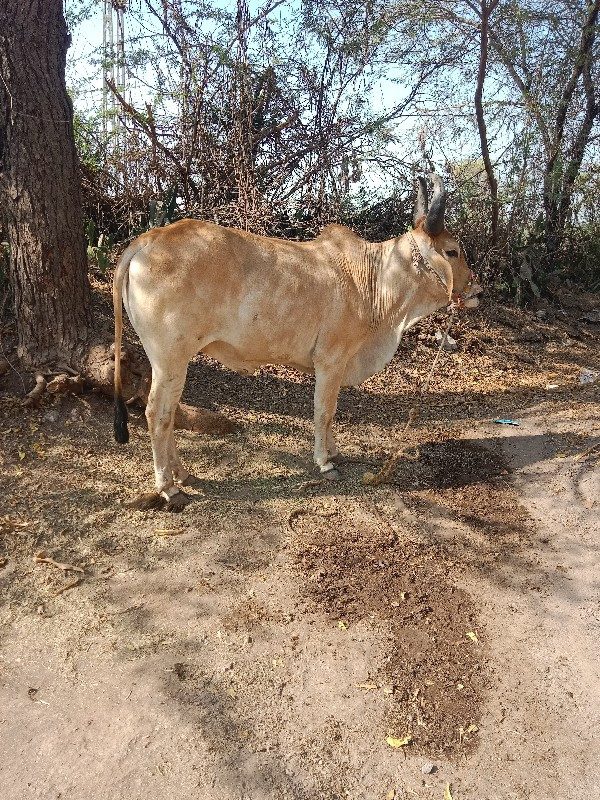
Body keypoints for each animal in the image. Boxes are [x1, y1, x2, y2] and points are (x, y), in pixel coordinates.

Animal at [111, 176, 478, 512]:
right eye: (452, 251)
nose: (476, 288)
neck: (373, 280)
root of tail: (147, 240)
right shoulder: (331, 359)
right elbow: (324, 411)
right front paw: (325, 462)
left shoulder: (337, 364)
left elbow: (332, 410)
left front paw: (333, 452)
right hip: (169, 359)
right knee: (157, 412)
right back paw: (168, 487)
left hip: (175, 362)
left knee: (170, 413)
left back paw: (182, 475)